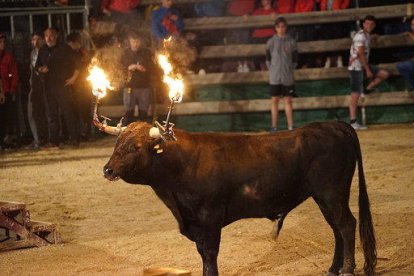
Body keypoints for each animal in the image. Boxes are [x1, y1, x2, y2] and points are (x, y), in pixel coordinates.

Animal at [98, 120, 376, 276]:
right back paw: (333, 269)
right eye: (116, 144)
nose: (108, 170)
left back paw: (348, 270)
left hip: (332, 192)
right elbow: (202, 253)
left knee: (346, 225)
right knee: (336, 229)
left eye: (135, 147)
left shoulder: (210, 216)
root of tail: (334, 125)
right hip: (322, 196)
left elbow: (209, 253)